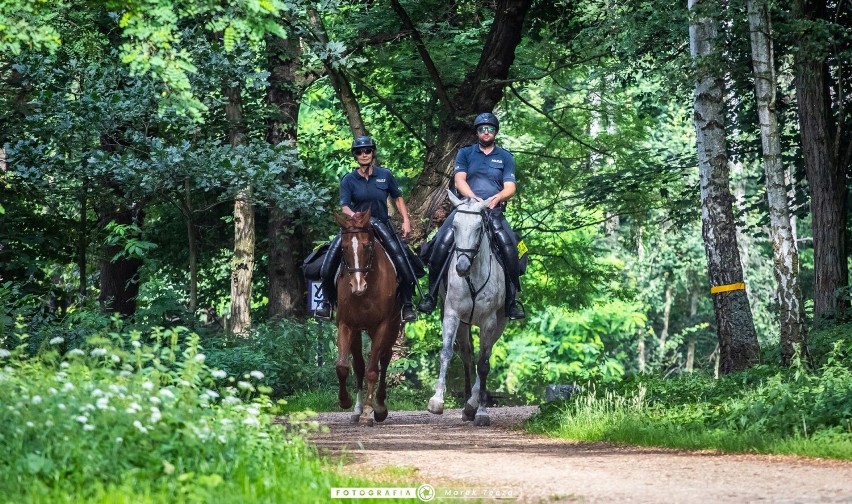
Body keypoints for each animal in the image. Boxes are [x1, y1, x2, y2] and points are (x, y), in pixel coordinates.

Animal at [332, 208, 402, 426]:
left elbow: (373, 370)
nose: (358, 286)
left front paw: (369, 411)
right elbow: (343, 367)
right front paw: (345, 401)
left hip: (392, 326)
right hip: (359, 331)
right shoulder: (346, 324)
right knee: (359, 366)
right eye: (344, 248)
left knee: (385, 358)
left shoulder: (382, 325)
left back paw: (379, 406)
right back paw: (357, 408)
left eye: (367, 246)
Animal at [426, 189, 506, 426]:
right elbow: (446, 353)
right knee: (467, 357)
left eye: (479, 228)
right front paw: (436, 401)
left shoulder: (489, 322)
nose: (461, 267)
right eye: (455, 227)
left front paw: (481, 412)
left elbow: (484, 364)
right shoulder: (452, 315)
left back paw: (472, 405)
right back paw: (467, 404)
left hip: (500, 324)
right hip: (463, 324)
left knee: (483, 359)